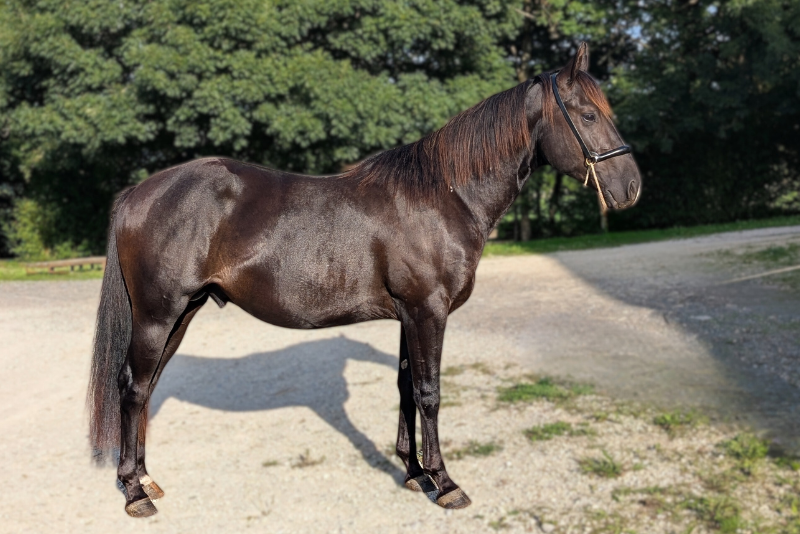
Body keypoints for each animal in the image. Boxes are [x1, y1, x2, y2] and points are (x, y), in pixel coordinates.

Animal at [87, 42, 640, 518]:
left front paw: (415, 473)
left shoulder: (409, 316)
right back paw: (135, 492)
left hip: (181, 313)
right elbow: (430, 392)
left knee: (146, 387)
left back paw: (145, 478)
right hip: (158, 315)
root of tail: (139, 192)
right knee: (133, 388)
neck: (443, 196)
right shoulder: (427, 311)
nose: (631, 186)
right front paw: (447, 483)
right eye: (588, 115)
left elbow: (406, 387)